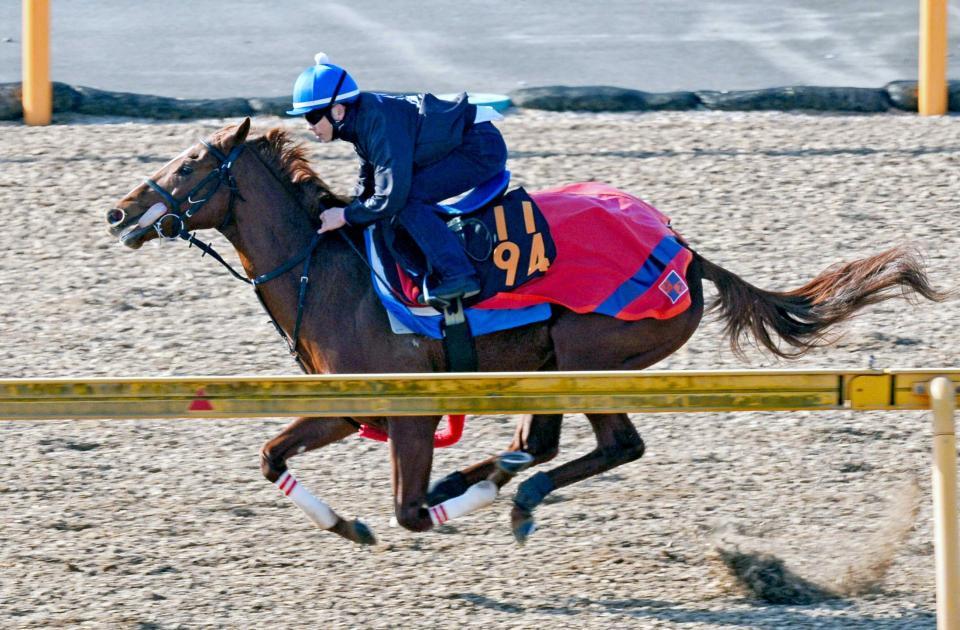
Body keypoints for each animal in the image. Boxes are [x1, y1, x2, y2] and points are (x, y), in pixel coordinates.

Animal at [105, 119, 944, 548]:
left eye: (189, 165)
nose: (117, 211)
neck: (330, 271)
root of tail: (681, 249)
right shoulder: (349, 405)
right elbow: (271, 454)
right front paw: (348, 524)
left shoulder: (408, 410)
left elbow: (411, 510)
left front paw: (445, 501)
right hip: (553, 362)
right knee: (544, 442)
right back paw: (494, 475)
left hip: (588, 355)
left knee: (610, 446)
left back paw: (510, 491)